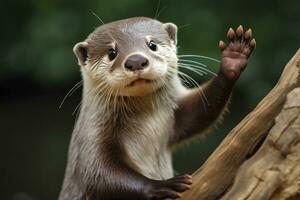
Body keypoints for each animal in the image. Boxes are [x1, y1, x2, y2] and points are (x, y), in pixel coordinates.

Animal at [58, 17, 255, 200]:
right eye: (112, 52)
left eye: (152, 44)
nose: (136, 60)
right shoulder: (91, 139)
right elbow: (98, 174)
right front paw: (163, 184)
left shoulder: (175, 116)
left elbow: (197, 115)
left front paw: (233, 58)